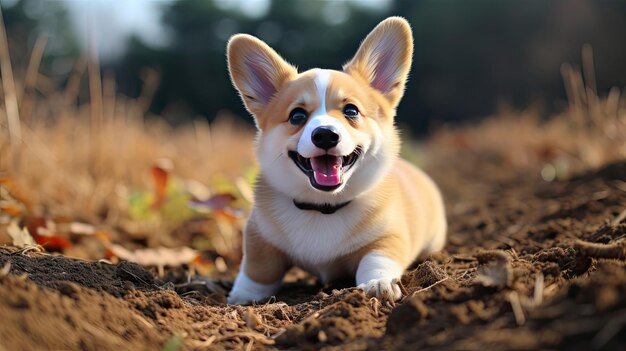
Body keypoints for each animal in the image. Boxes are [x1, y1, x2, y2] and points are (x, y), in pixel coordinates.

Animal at [224, 15, 444, 306]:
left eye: (351, 111)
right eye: (297, 116)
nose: (325, 135)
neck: (323, 207)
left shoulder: (389, 236)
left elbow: (376, 259)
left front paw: (378, 284)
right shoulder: (259, 234)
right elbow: (257, 267)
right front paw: (243, 295)